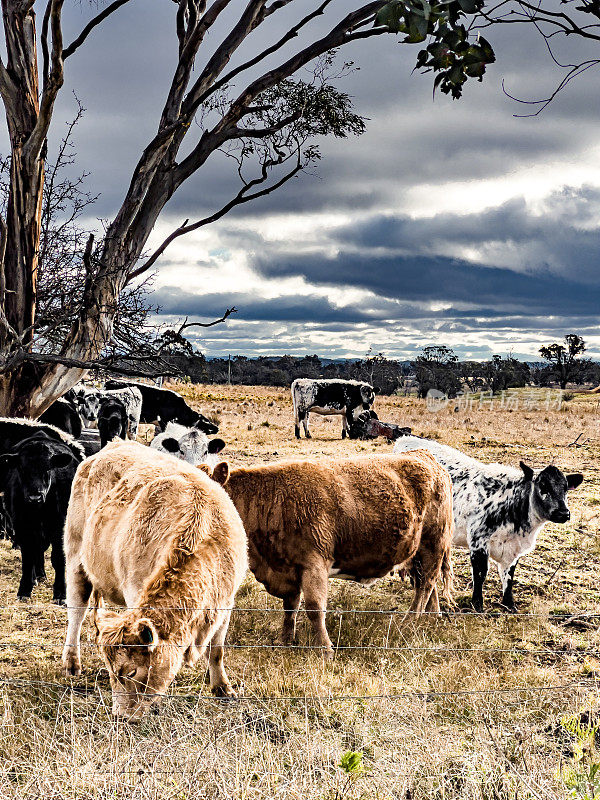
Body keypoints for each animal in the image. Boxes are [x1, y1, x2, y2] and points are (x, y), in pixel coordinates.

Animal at [61, 440, 248, 720]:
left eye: (130, 672)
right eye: (112, 673)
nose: (120, 716)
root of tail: (111, 446)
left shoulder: (225, 603)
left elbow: (217, 650)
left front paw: (222, 688)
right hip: (75, 560)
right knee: (77, 612)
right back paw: (72, 663)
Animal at [209, 450, 452, 656]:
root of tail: (424, 455)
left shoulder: (314, 564)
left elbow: (314, 608)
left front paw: (325, 650)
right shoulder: (287, 568)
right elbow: (290, 607)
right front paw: (285, 641)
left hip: (433, 543)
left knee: (426, 584)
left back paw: (409, 622)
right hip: (419, 553)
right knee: (426, 584)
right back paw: (432, 617)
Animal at [392, 434, 584, 608]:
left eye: (566, 488)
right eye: (543, 486)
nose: (563, 513)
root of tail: (405, 439)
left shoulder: (512, 550)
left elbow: (508, 576)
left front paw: (509, 604)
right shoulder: (478, 541)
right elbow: (480, 573)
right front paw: (477, 604)